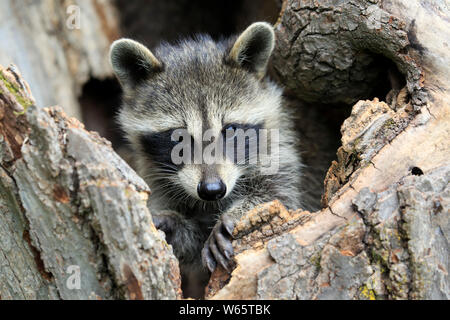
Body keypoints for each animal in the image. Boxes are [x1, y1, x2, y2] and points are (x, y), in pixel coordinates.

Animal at [109, 21, 302, 298]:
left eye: (230, 130)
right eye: (178, 137)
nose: (212, 189)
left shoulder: (280, 151)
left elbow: (281, 198)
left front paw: (234, 215)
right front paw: (172, 225)